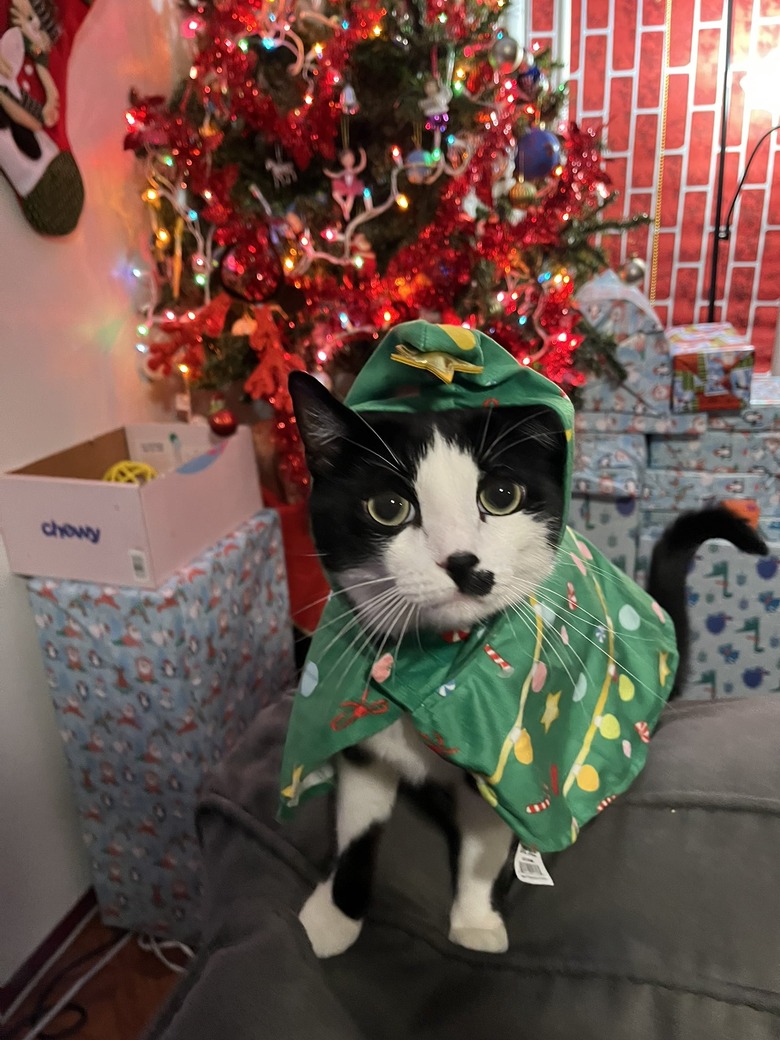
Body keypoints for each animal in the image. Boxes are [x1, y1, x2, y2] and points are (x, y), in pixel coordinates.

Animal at [289, 368, 769, 956]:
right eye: (387, 507)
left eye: (502, 496)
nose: (462, 562)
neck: (432, 668)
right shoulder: (363, 747)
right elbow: (356, 828)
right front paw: (335, 915)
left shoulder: (507, 752)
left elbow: (487, 839)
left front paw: (475, 921)